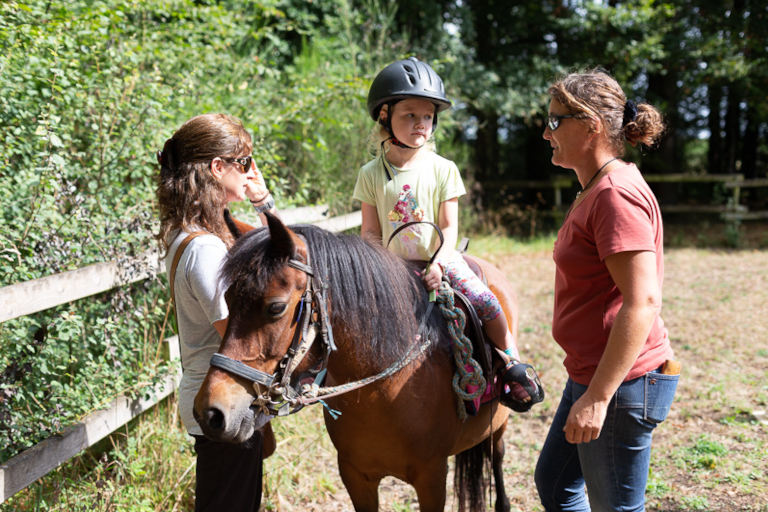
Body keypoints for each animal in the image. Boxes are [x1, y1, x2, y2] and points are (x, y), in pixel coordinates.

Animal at [194, 213, 516, 512]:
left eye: (276, 307)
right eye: (227, 300)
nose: (210, 413)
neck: (383, 391)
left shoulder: (432, 477)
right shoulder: (355, 476)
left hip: (498, 425)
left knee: (497, 457)